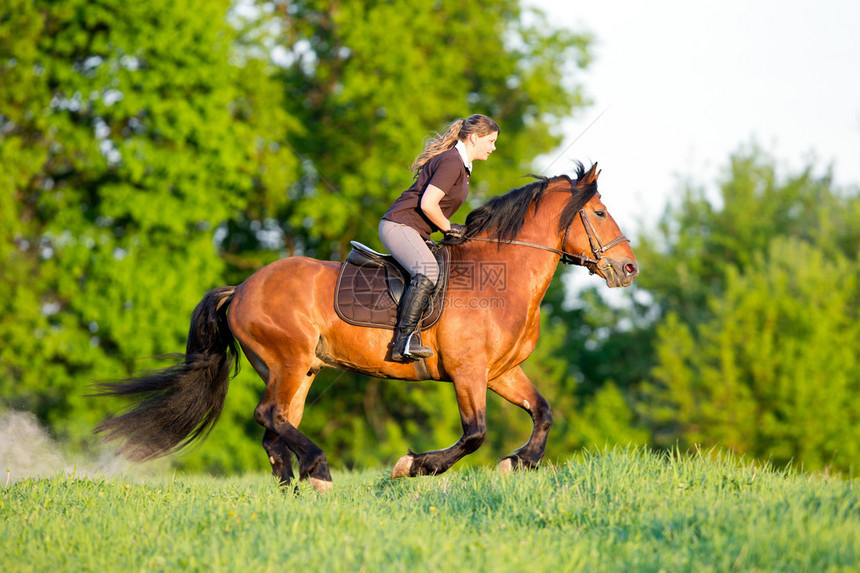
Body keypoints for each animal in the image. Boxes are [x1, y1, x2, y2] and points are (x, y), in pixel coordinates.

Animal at [94, 162, 636, 492]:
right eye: (600, 212)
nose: (629, 268)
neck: (501, 276)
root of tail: (242, 287)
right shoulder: (468, 373)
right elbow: (474, 434)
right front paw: (413, 466)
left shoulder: (500, 372)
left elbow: (543, 413)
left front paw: (518, 462)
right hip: (288, 361)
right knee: (269, 416)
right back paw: (319, 472)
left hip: (299, 370)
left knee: (275, 427)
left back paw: (295, 488)